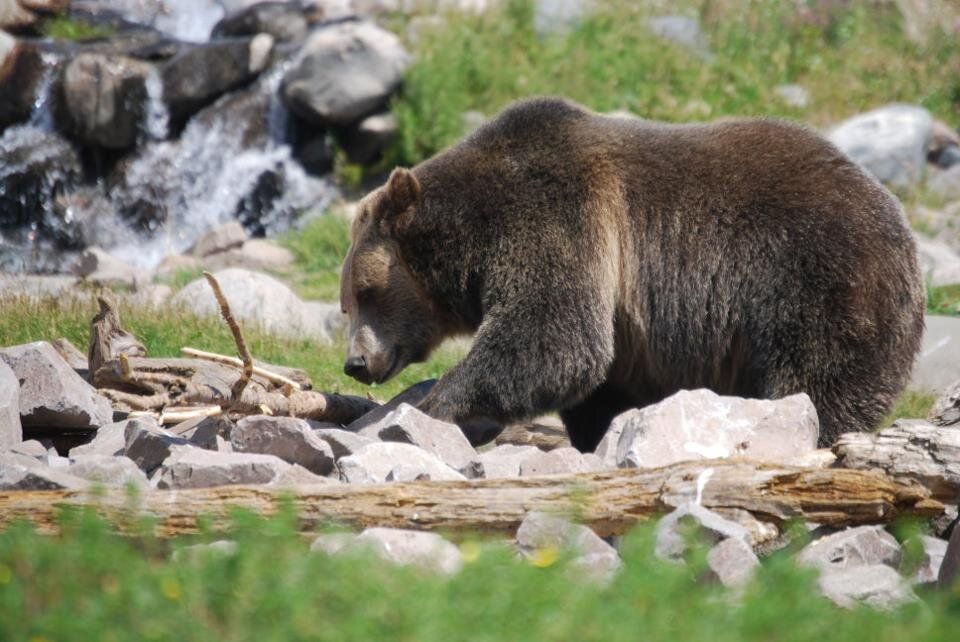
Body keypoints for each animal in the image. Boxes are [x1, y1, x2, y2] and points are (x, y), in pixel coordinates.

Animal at [339, 97, 925, 451]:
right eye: (346, 303)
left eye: (366, 291)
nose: (354, 363)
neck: (471, 237)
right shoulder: (623, 317)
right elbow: (595, 374)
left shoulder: (556, 216)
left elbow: (551, 335)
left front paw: (434, 406)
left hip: (815, 285)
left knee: (816, 382)